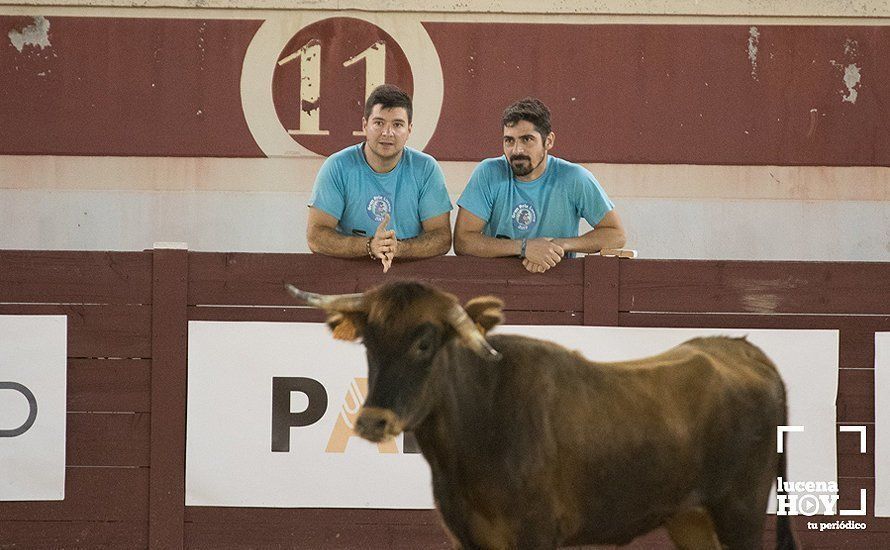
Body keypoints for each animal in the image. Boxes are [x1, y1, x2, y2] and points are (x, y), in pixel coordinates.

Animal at [288, 282, 796, 548]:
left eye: (425, 342)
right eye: (369, 342)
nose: (373, 422)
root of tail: (745, 351)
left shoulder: (535, 534)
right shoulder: (469, 538)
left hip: (741, 511)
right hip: (691, 517)